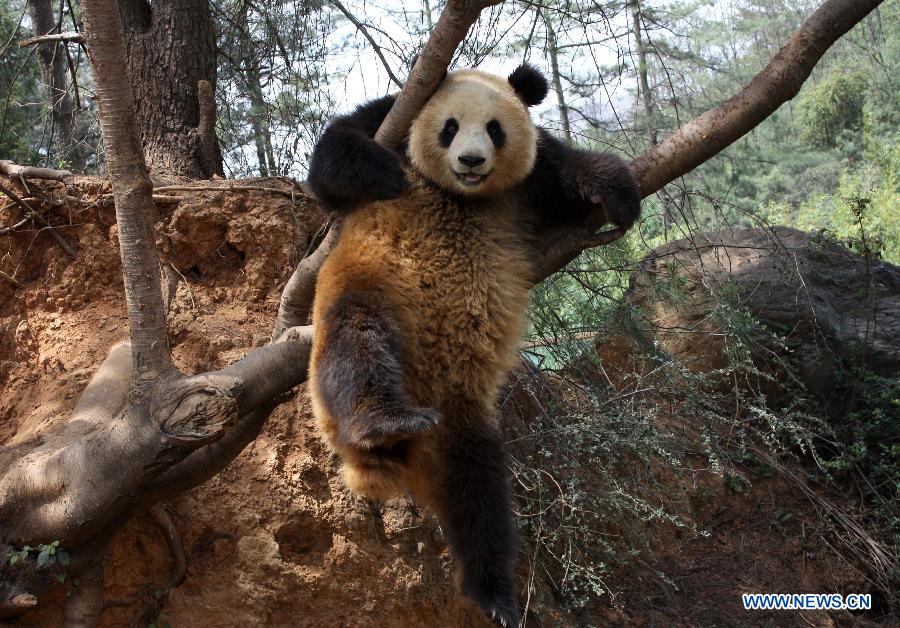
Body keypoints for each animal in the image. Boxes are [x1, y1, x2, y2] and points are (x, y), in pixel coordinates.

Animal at [308, 66, 640, 624]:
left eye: (494, 129)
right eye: (449, 127)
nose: (469, 161)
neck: (462, 197)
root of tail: (400, 461)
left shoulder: (531, 183)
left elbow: (566, 179)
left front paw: (618, 193)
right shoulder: (390, 116)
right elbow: (333, 157)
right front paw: (387, 172)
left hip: (466, 426)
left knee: (481, 501)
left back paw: (495, 593)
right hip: (373, 294)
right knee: (356, 341)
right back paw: (381, 418)